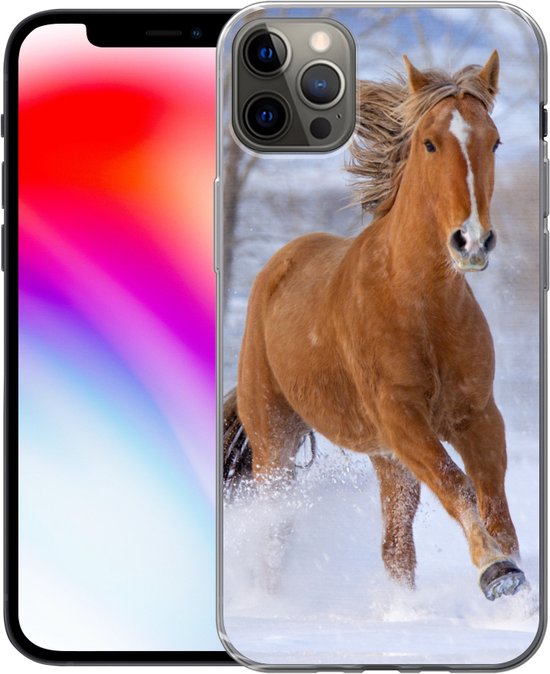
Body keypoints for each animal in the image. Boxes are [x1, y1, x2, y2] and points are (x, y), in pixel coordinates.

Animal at [224, 50, 526, 601]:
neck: (420, 305)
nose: (472, 241)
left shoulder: (476, 415)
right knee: (275, 532)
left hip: (387, 459)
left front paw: (513, 577)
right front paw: (496, 570)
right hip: (274, 443)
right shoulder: (400, 416)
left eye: (494, 140)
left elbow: (493, 502)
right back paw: (267, 600)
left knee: (395, 548)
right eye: (429, 142)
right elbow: (458, 486)